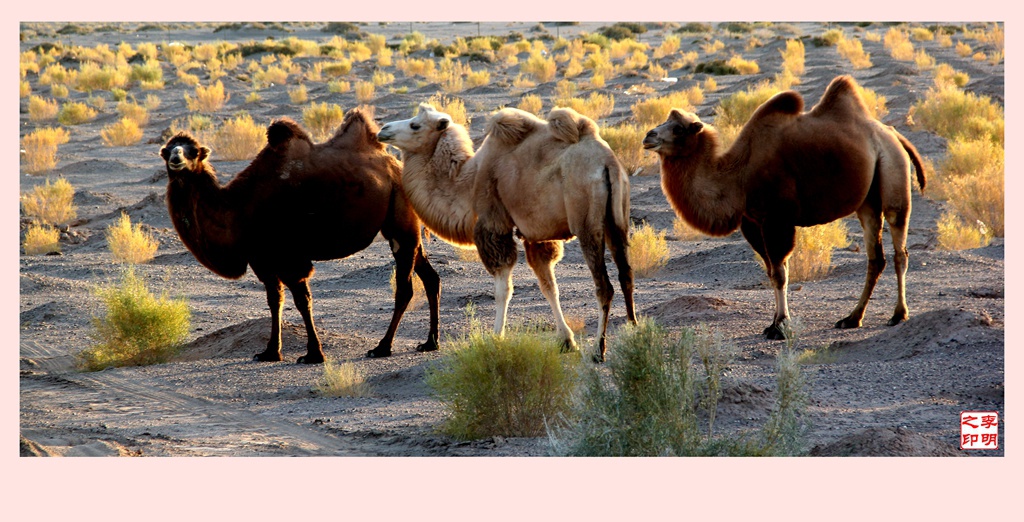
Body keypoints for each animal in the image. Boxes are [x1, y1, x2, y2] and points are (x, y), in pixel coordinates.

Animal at [159, 109, 440, 362]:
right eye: (168, 149)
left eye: (193, 151)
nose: (176, 158)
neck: (237, 209)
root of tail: (396, 165)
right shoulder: (262, 259)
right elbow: (275, 300)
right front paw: (270, 352)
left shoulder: (289, 257)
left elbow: (302, 301)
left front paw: (313, 354)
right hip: (403, 226)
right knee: (430, 277)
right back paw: (430, 342)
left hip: (400, 218)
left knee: (404, 287)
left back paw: (383, 347)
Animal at [376, 103, 630, 360]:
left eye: (415, 125)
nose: (383, 129)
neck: (468, 182)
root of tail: (606, 162)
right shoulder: (534, 235)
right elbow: (549, 286)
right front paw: (566, 340)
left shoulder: (494, 225)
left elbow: (503, 289)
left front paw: (496, 338)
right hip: (617, 222)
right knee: (625, 275)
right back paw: (634, 331)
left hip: (587, 223)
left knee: (604, 286)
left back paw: (598, 349)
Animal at [647, 75, 929, 339]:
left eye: (678, 129)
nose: (648, 136)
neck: (738, 175)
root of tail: (892, 133)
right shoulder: (752, 223)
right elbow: (772, 271)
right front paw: (773, 322)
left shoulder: (776, 220)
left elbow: (780, 273)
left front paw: (780, 326)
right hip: (867, 201)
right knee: (875, 257)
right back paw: (851, 318)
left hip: (893, 172)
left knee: (899, 247)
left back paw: (898, 314)